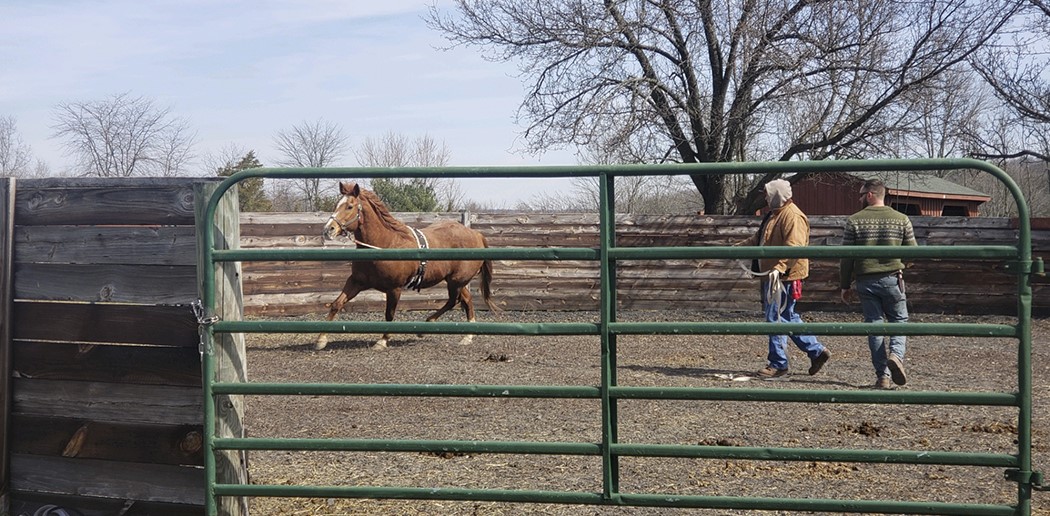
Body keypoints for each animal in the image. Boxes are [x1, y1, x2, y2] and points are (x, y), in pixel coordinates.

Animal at [315, 181, 498, 350]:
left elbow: (389, 315)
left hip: (456, 281)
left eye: (350, 206)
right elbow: (336, 304)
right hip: (456, 281)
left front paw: (382, 341)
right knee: (466, 300)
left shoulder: (394, 289)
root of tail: (476, 234)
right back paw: (466, 335)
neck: (386, 243)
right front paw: (321, 339)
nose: (328, 229)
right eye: (336, 204)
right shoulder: (356, 282)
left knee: (455, 301)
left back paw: (429, 326)